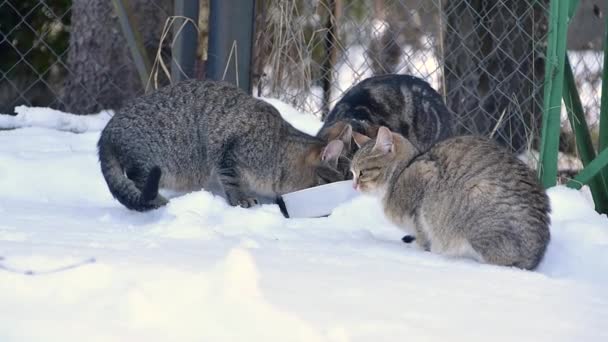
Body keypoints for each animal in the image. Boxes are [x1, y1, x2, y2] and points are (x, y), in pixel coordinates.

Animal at [97, 79, 350, 211]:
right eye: (334, 181)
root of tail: (107, 131)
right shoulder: (229, 155)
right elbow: (232, 181)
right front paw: (241, 199)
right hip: (153, 163)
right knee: (140, 186)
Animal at [346, 126, 552, 270]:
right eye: (352, 173)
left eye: (362, 173)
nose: (353, 185)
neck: (402, 172)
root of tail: (534, 257)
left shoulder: (423, 194)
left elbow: (423, 235)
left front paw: (418, 250)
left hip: (477, 199)